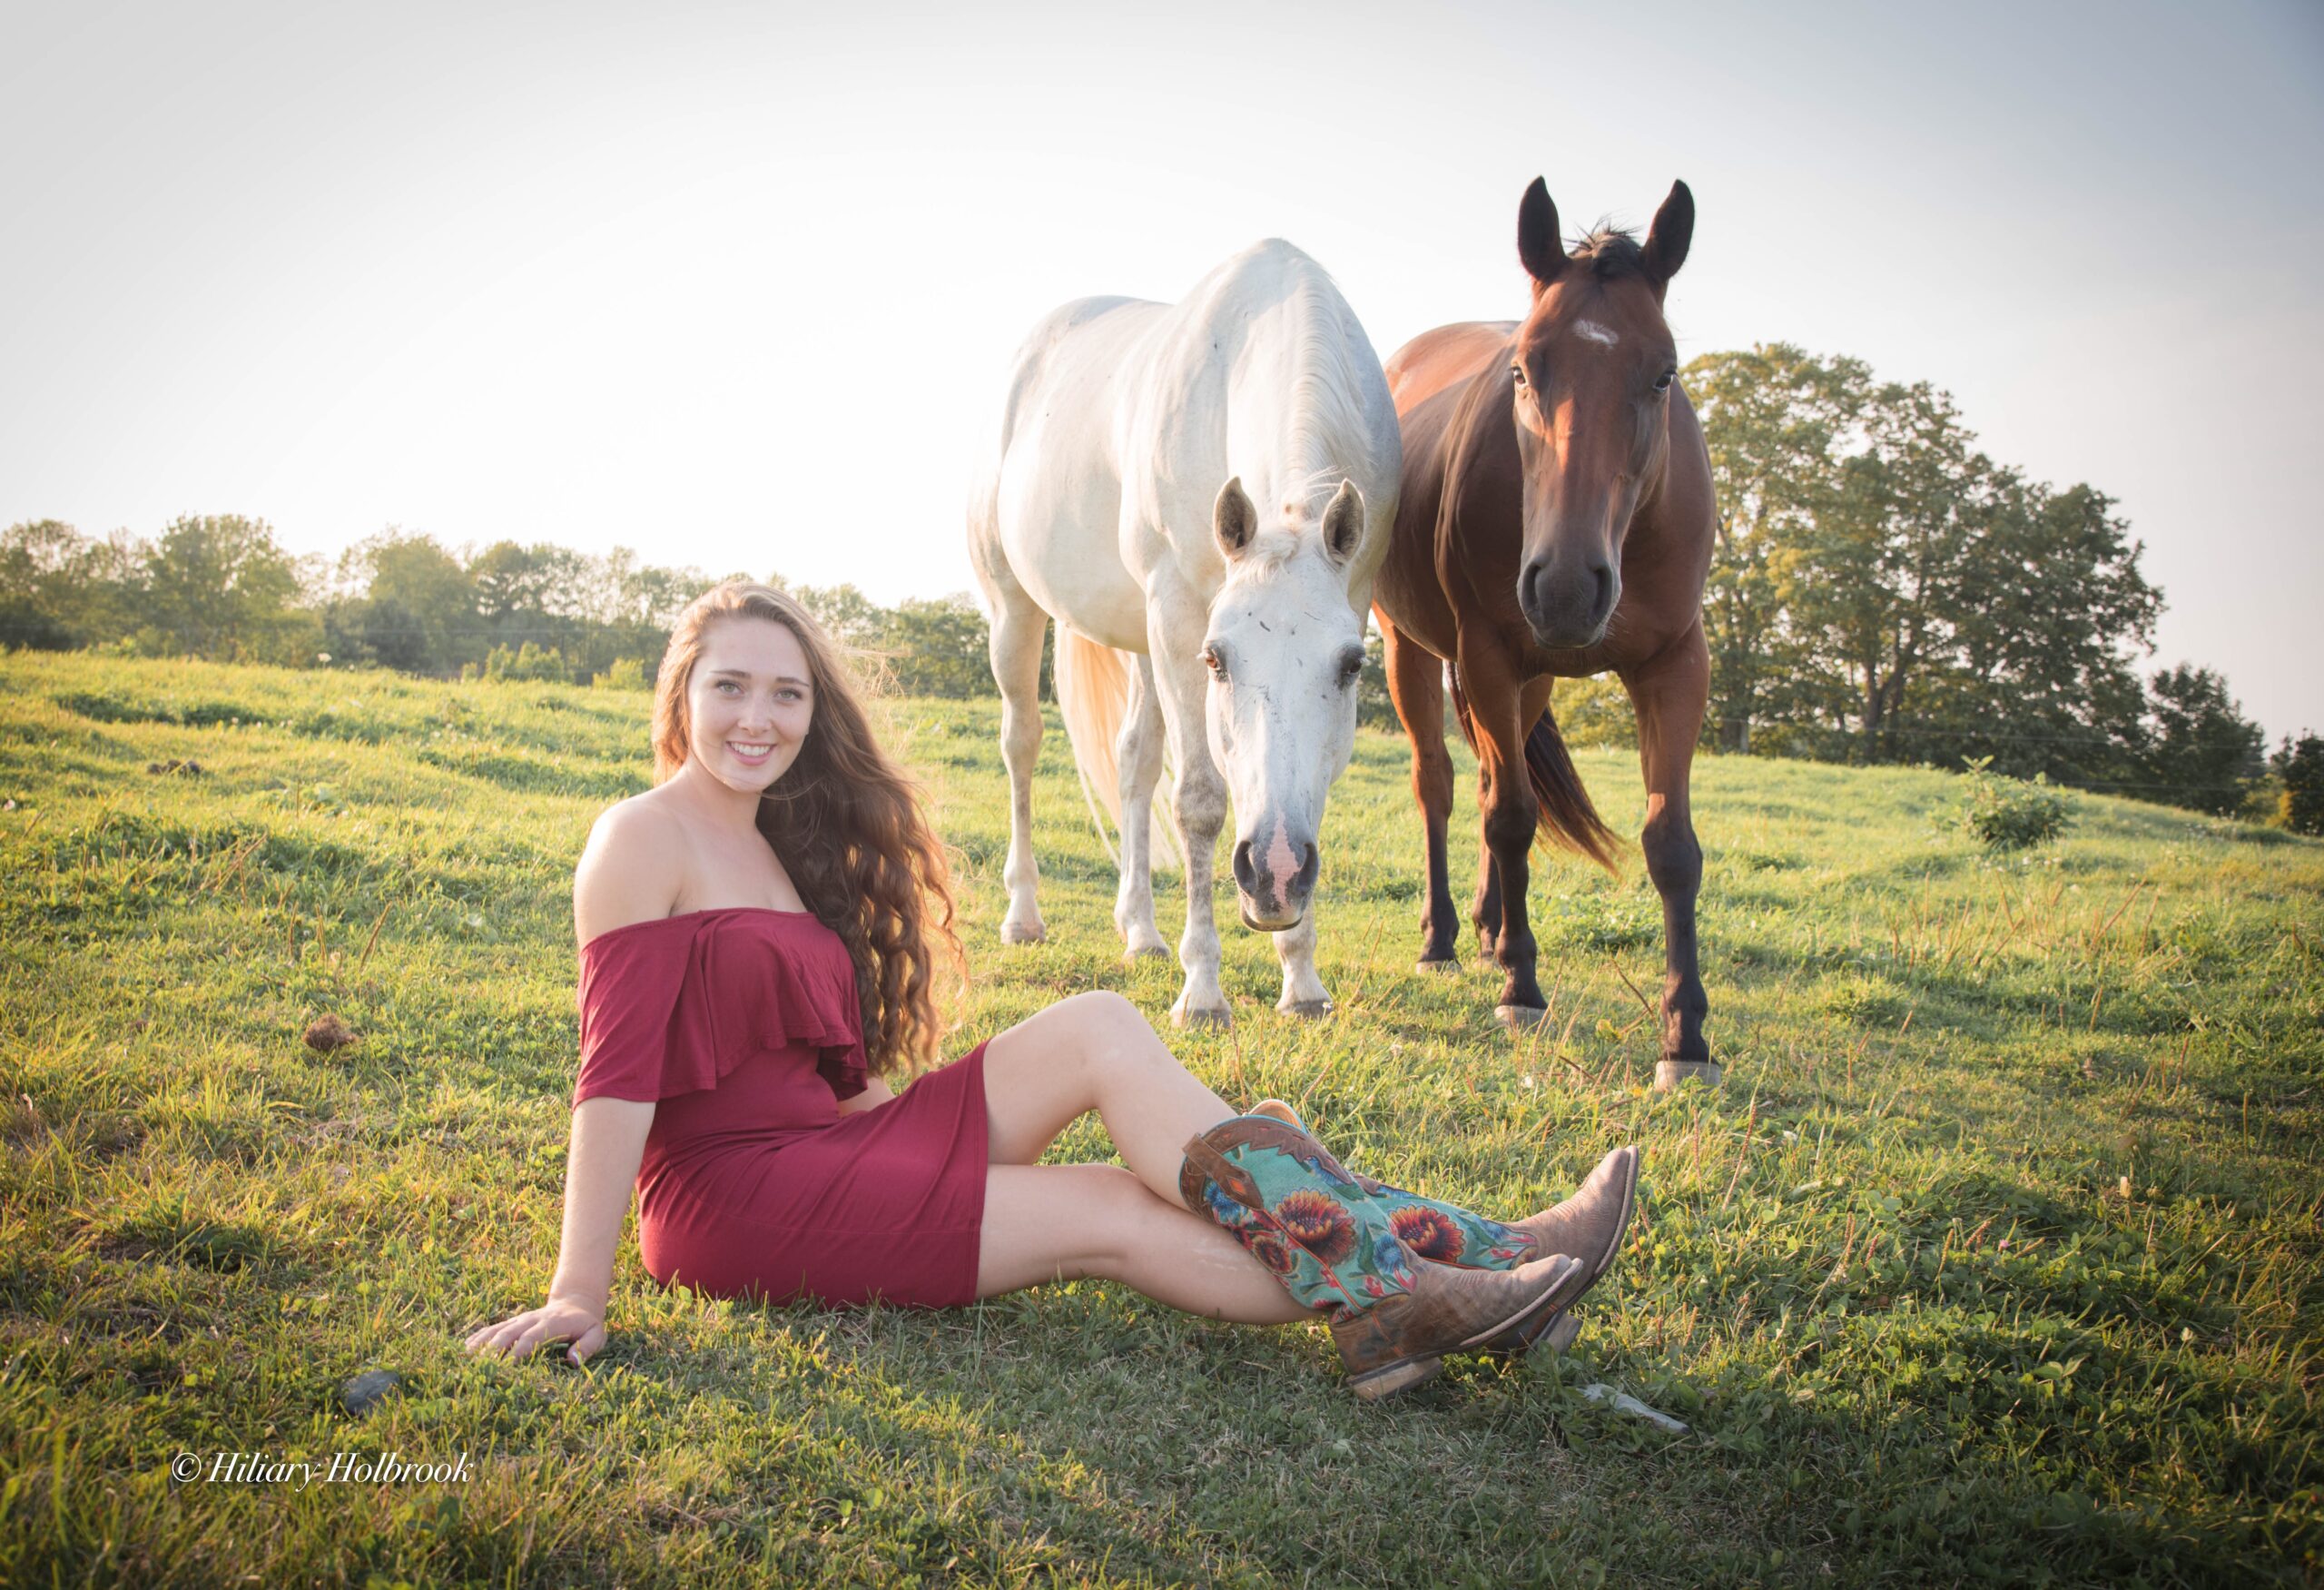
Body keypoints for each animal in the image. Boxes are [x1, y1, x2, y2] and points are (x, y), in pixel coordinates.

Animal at [961, 239, 1394, 1032]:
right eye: (1218, 661)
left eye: (1352, 665)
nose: (1275, 872)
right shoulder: (1177, 614)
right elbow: (1197, 800)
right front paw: (1203, 991)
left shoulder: (1354, 593)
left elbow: (1303, 788)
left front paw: (1302, 980)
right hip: (1017, 609)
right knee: (1022, 745)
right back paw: (1024, 915)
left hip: (1140, 639)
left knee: (1133, 762)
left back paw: (1141, 930)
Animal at [1366, 176, 1719, 1092]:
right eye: (1524, 370)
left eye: (1664, 373)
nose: (1563, 585)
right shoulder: (1487, 653)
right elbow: (1511, 818)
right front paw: (1522, 988)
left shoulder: (1676, 664)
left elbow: (1671, 844)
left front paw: (1686, 1036)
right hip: (1415, 651)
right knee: (1445, 784)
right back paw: (1449, 939)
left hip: (1532, 681)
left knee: (1500, 772)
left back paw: (1493, 925)